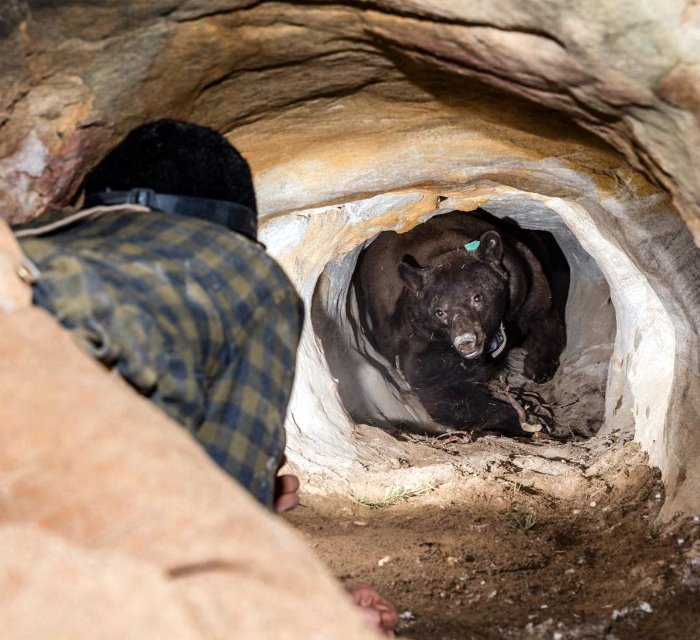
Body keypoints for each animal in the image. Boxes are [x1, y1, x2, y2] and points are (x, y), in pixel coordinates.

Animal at [356, 209, 568, 436]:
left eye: (477, 297)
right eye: (440, 312)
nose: (465, 341)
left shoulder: (524, 283)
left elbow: (543, 316)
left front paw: (539, 367)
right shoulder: (420, 336)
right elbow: (439, 387)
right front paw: (520, 418)